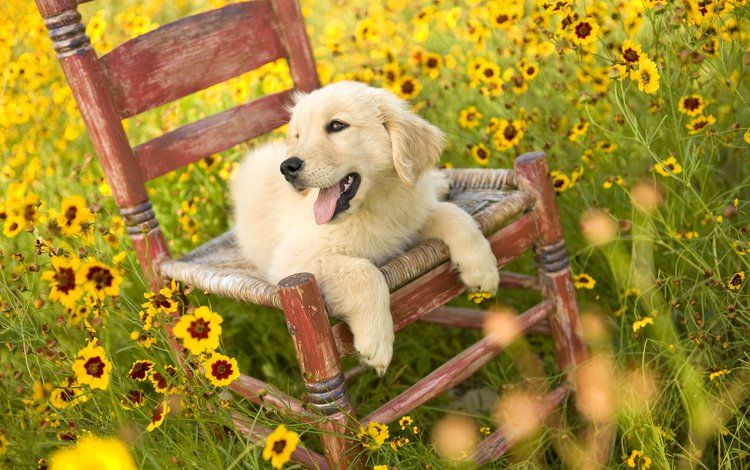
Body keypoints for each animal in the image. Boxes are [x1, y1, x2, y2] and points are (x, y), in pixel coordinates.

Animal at [229, 81, 500, 374]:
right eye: (298, 136)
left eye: (337, 126)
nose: (287, 167)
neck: (373, 206)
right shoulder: (293, 260)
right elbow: (366, 272)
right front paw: (376, 341)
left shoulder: (410, 219)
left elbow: (456, 215)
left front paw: (482, 269)